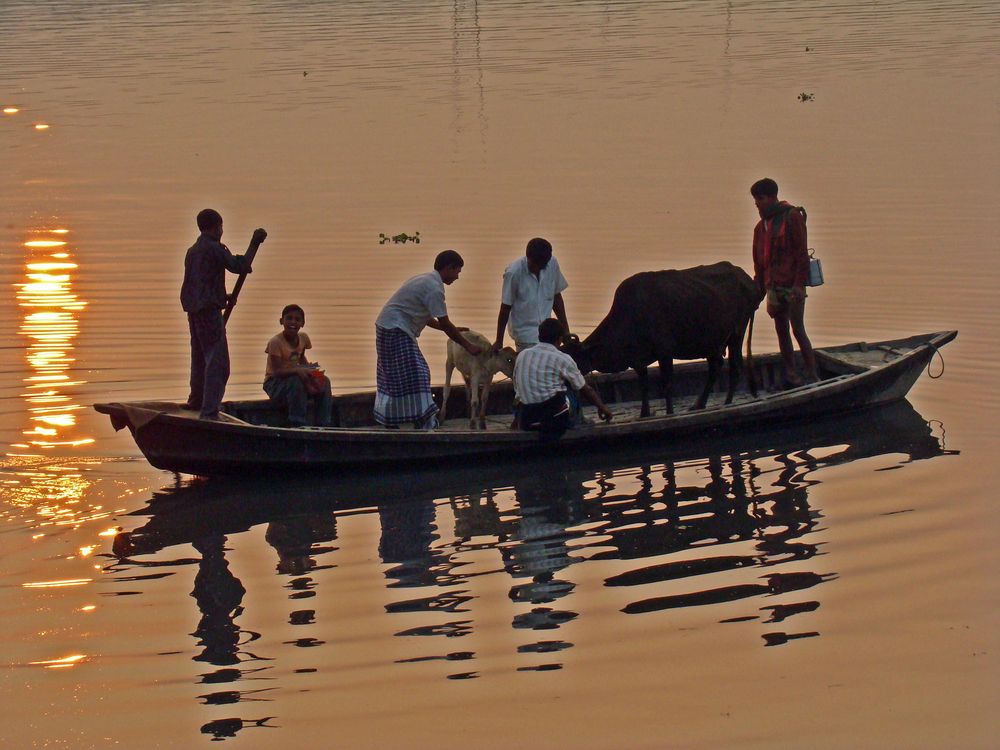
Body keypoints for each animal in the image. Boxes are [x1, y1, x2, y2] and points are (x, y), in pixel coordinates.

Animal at [564, 262, 764, 418]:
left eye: (575, 359)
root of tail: (748, 280)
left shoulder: (664, 350)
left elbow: (666, 383)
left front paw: (669, 412)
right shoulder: (639, 359)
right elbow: (644, 386)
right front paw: (644, 413)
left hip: (737, 331)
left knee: (734, 367)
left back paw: (728, 402)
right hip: (711, 341)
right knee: (715, 368)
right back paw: (699, 404)